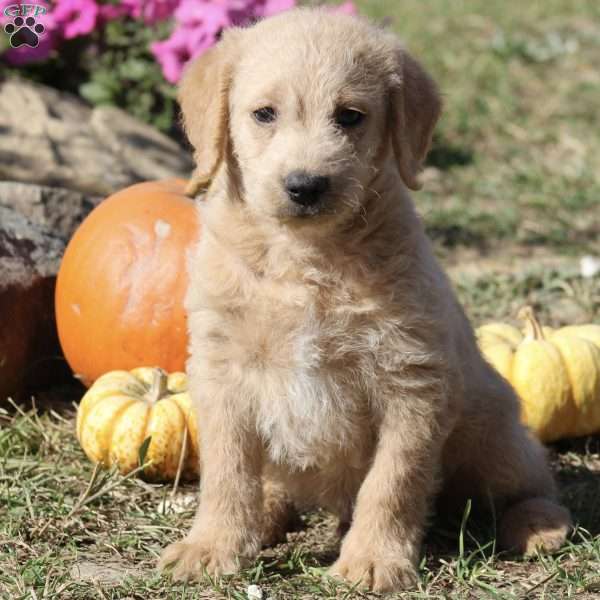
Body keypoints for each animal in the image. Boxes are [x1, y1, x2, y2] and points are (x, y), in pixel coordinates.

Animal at [161, 7, 572, 592]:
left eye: (350, 116)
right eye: (264, 114)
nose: (305, 185)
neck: (305, 262)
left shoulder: (412, 381)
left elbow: (393, 481)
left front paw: (374, 558)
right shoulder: (222, 373)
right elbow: (227, 472)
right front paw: (212, 544)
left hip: (495, 436)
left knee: (528, 479)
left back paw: (539, 523)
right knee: (275, 485)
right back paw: (267, 513)